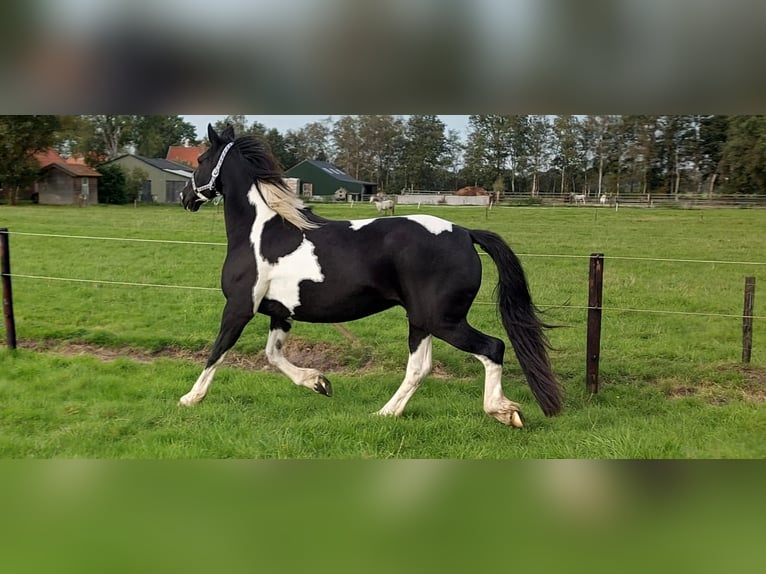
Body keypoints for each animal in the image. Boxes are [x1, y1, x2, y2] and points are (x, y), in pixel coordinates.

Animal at [180, 125, 564, 428]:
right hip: (421, 320)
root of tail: (465, 233)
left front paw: (190, 398)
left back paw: (503, 411)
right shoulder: (281, 313)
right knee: (419, 368)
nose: (185, 198)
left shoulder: (239, 307)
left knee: (492, 347)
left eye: (200, 160)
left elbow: (218, 350)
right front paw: (319, 382)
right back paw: (386, 413)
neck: (262, 232)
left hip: (443, 320)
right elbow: (272, 355)